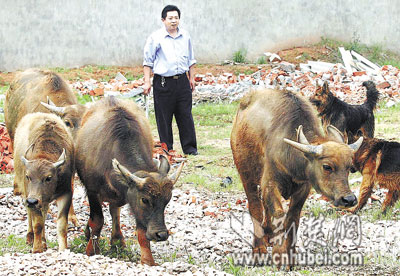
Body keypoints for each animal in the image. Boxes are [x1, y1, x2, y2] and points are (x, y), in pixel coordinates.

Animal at [13, 111, 74, 252]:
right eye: (28, 176)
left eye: (48, 177)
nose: (32, 201)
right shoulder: (31, 195)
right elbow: (38, 224)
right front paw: (36, 248)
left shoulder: (66, 193)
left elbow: (62, 224)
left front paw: (63, 248)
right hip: (27, 194)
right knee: (30, 213)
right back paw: (30, 237)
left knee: (45, 210)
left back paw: (44, 241)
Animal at [76, 96, 185, 266]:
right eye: (145, 200)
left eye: (167, 200)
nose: (161, 234)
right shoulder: (92, 191)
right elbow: (97, 221)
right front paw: (92, 250)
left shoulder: (132, 201)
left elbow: (141, 231)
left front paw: (148, 260)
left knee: (115, 211)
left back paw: (117, 241)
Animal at [230, 88, 364, 268]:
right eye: (327, 166)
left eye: (349, 167)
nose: (349, 199)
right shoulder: (269, 183)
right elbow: (279, 214)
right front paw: (279, 255)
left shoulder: (303, 189)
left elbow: (293, 219)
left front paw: (290, 256)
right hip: (246, 173)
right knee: (255, 207)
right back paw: (259, 249)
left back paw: (268, 234)